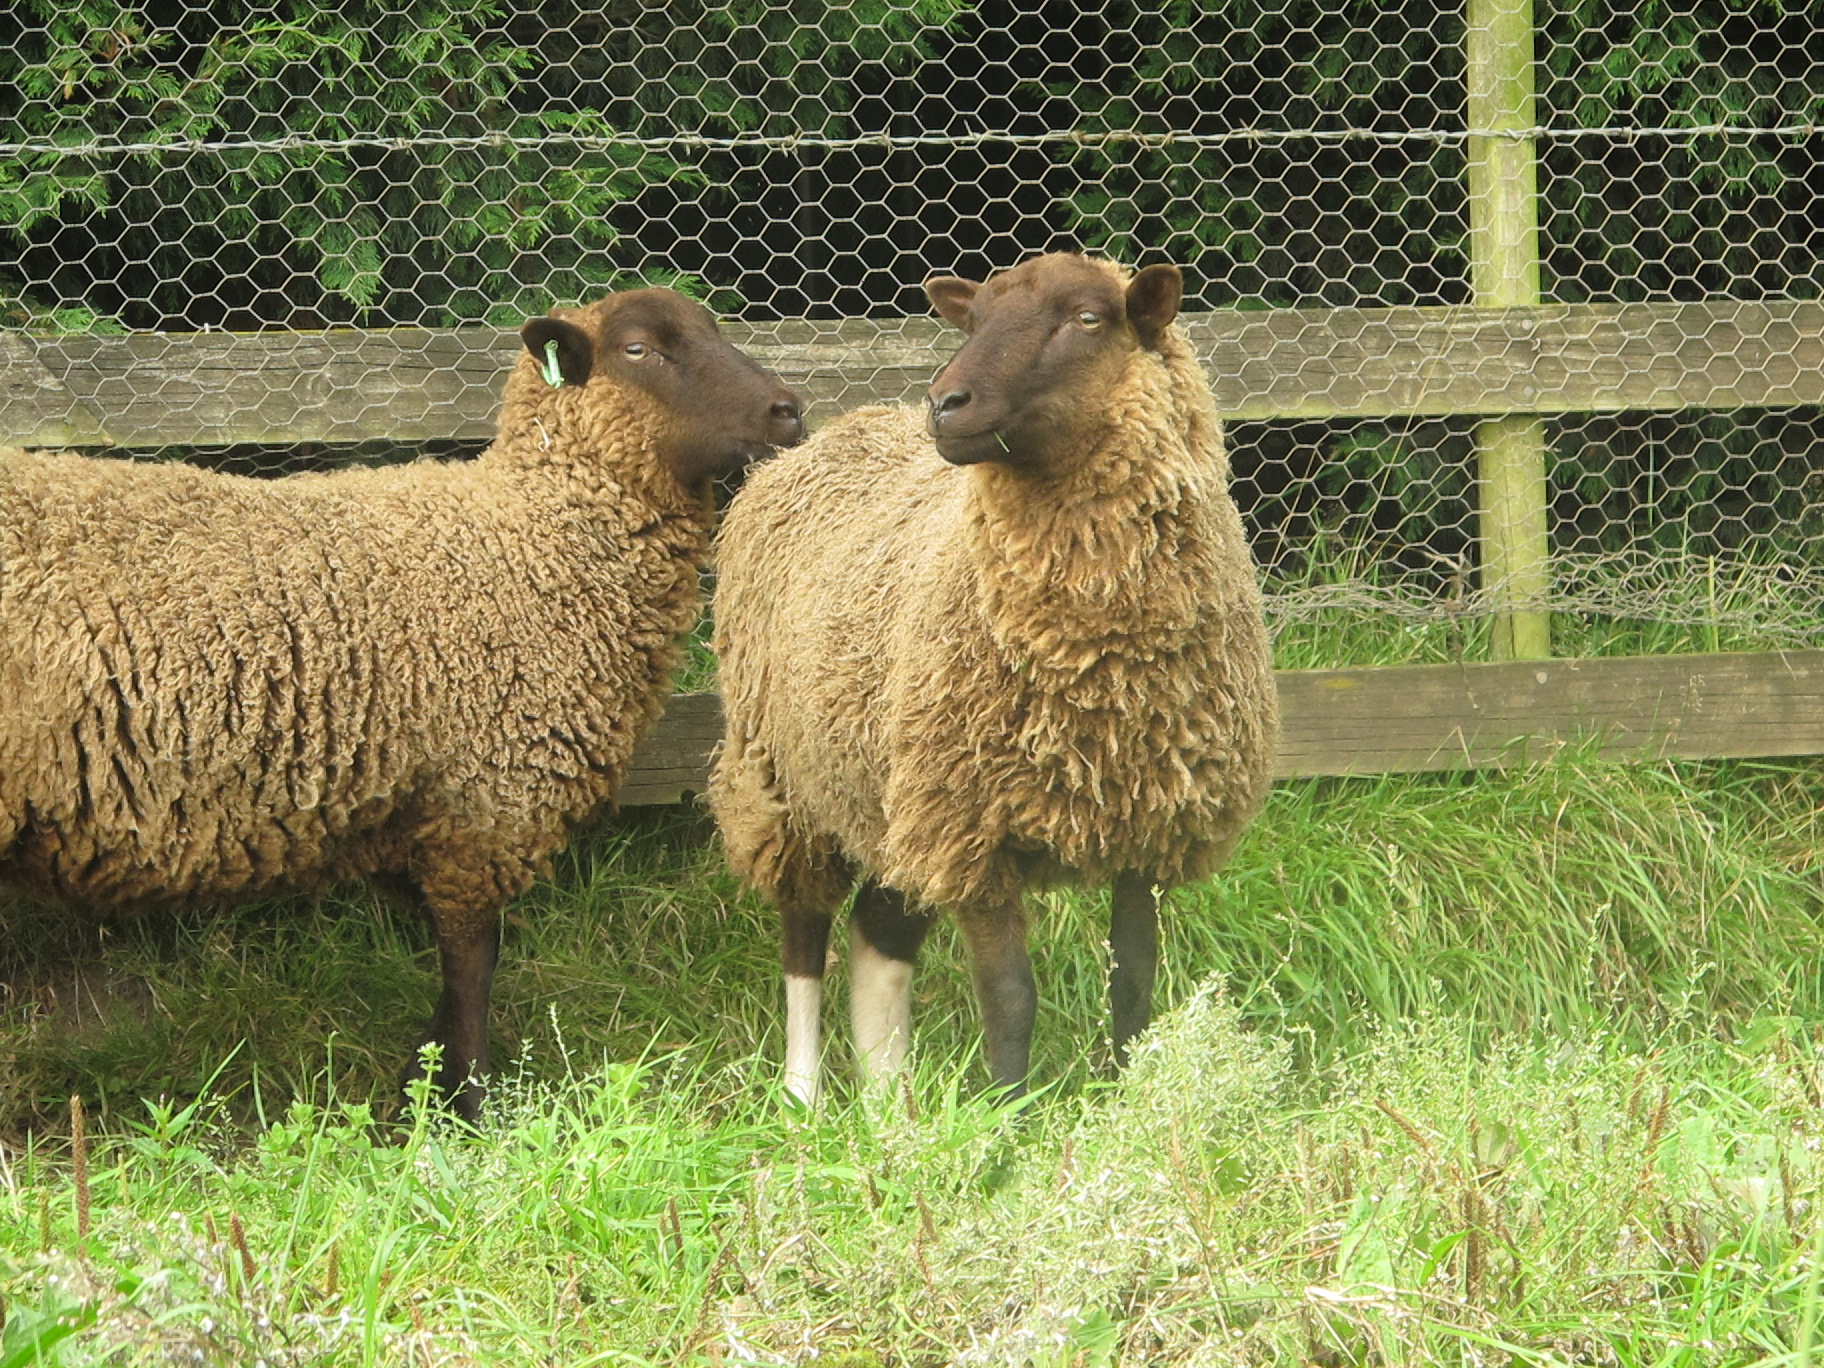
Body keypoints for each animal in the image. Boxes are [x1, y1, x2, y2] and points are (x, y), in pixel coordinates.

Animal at [0, 284, 802, 1116]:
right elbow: (474, 961)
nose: (789, 410)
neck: (532, 537)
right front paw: (469, 1104)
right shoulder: (487, 800)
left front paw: (428, 1084)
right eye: (639, 350)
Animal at [704, 251, 1276, 1108]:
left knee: (879, 932)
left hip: (891, 794)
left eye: (1088, 319)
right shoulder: (973, 832)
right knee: (805, 931)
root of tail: (830, 433)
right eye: (972, 321)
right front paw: (1012, 1117)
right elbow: (1010, 995)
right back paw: (806, 1098)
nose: (945, 404)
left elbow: (1133, 983)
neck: (1098, 669)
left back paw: (891, 1106)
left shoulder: (1149, 827)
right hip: (784, 775)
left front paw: (1125, 1103)